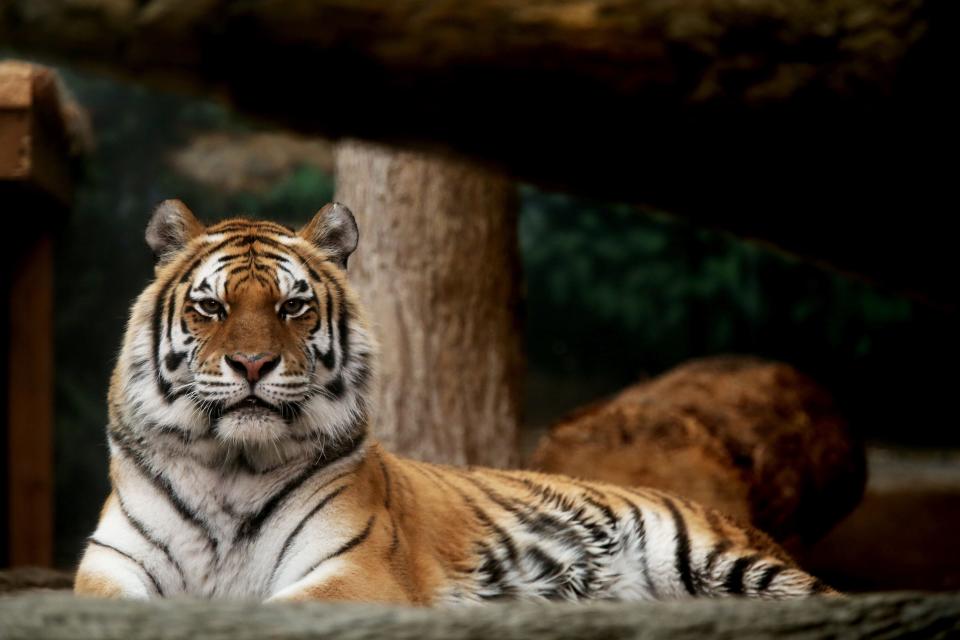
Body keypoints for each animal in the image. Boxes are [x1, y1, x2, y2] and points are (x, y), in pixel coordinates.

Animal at [75, 201, 832, 604]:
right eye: (211, 307)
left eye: (293, 306)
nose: (254, 364)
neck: (231, 465)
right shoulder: (110, 568)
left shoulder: (354, 572)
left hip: (717, 555)